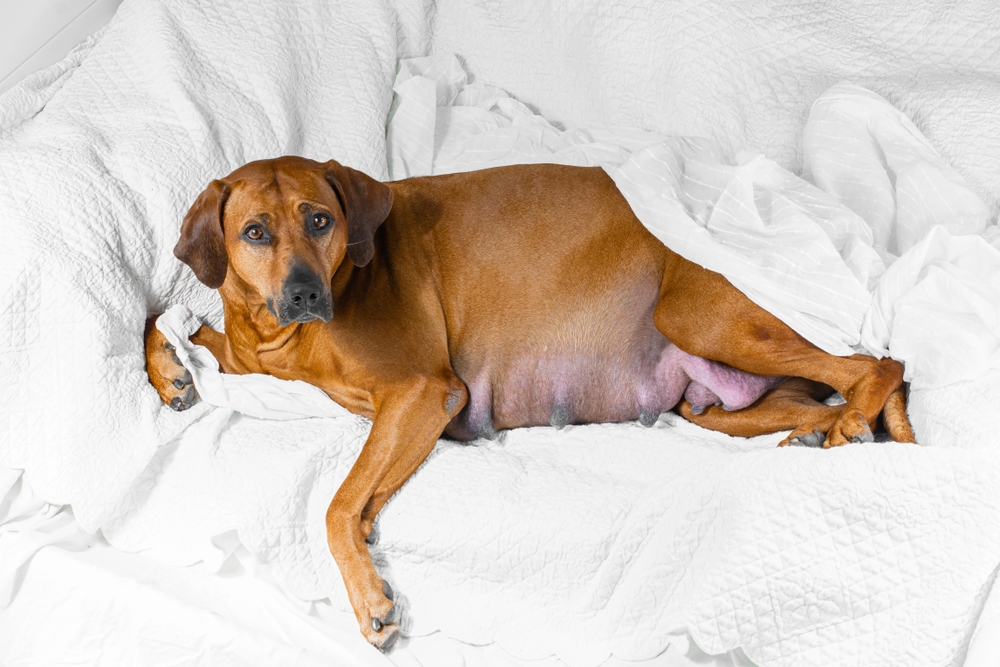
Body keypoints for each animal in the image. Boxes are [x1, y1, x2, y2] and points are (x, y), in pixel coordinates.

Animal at [143, 157, 916, 652]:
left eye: (321, 220)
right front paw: (173, 373)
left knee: (880, 363)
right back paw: (828, 432)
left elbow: (336, 505)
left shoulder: (423, 392)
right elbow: (161, 317)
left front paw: (368, 596)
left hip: (703, 317)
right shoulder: (290, 365)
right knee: (826, 394)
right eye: (255, 232)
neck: (289, 338)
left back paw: (856, 421)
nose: (304, 292)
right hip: (718, 405)